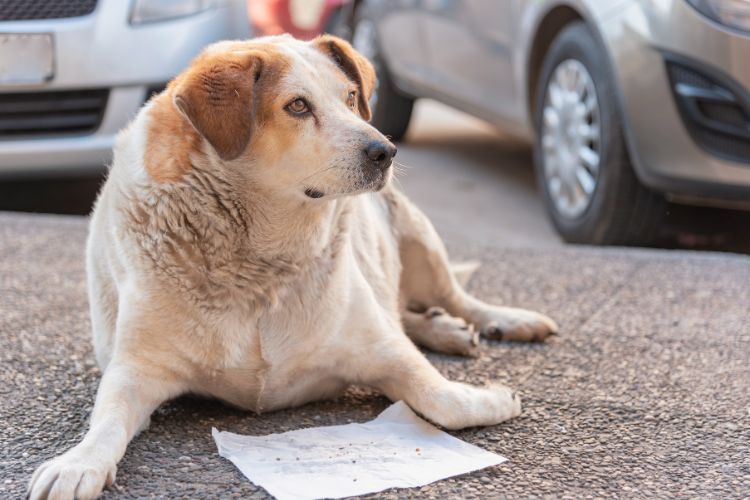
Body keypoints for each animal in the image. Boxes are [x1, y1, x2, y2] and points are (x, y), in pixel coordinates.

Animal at [27, 35, 560, 500]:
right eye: (298, 106)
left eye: (351, 97)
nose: (385, 151)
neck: (262, 261)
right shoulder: (137, 369)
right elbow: (107, 420)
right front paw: (78, 463)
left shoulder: (380, 348)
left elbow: (443, 400)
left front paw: (490, 398)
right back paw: (442, 328)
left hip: (415, 230)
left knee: (453, 296)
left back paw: (501, 321)